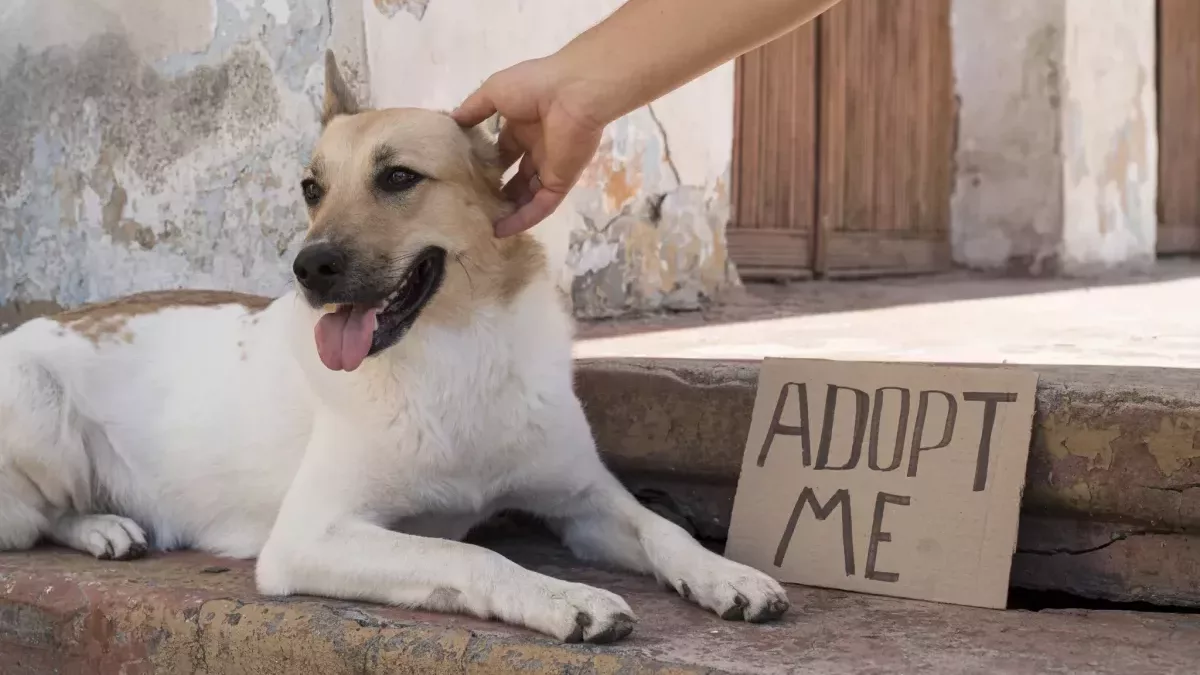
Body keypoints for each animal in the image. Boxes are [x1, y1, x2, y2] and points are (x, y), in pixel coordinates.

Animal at [0, 52, 792, 638]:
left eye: (399, 177)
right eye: (311, 188)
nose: (309, 269)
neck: (456, 352)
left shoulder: (584, 500)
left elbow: (665, 530)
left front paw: (729, 574)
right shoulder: (310, 537)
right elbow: (465, 553)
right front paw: (563, 597)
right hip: (43, 420)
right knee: (33, 520)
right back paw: (103, 526)